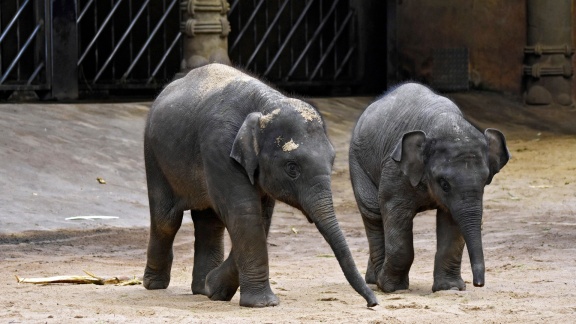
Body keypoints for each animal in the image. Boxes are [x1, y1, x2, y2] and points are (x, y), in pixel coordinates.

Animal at [143, 62, 378, 308]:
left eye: (332, 160)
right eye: (292, 168)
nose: (373, 303)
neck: (266, 104)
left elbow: (261, 217)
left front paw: (214, 289)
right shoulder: (219, 146)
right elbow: (245, 212)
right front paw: (263, 304)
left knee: (209, 222)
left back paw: (200, 289)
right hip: (154, 155)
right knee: (166, 220)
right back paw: (154, 284)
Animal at [348, 83, 510, 294]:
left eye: (485, 181)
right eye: (444, 184)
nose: (478, 284)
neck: (442, 120)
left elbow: (451, 221)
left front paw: (450, 288)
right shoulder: (395, 170)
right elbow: (394, 212)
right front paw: (392, 288)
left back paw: (372, 278)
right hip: (357, 162)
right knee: (373, 214)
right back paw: (377, 281)